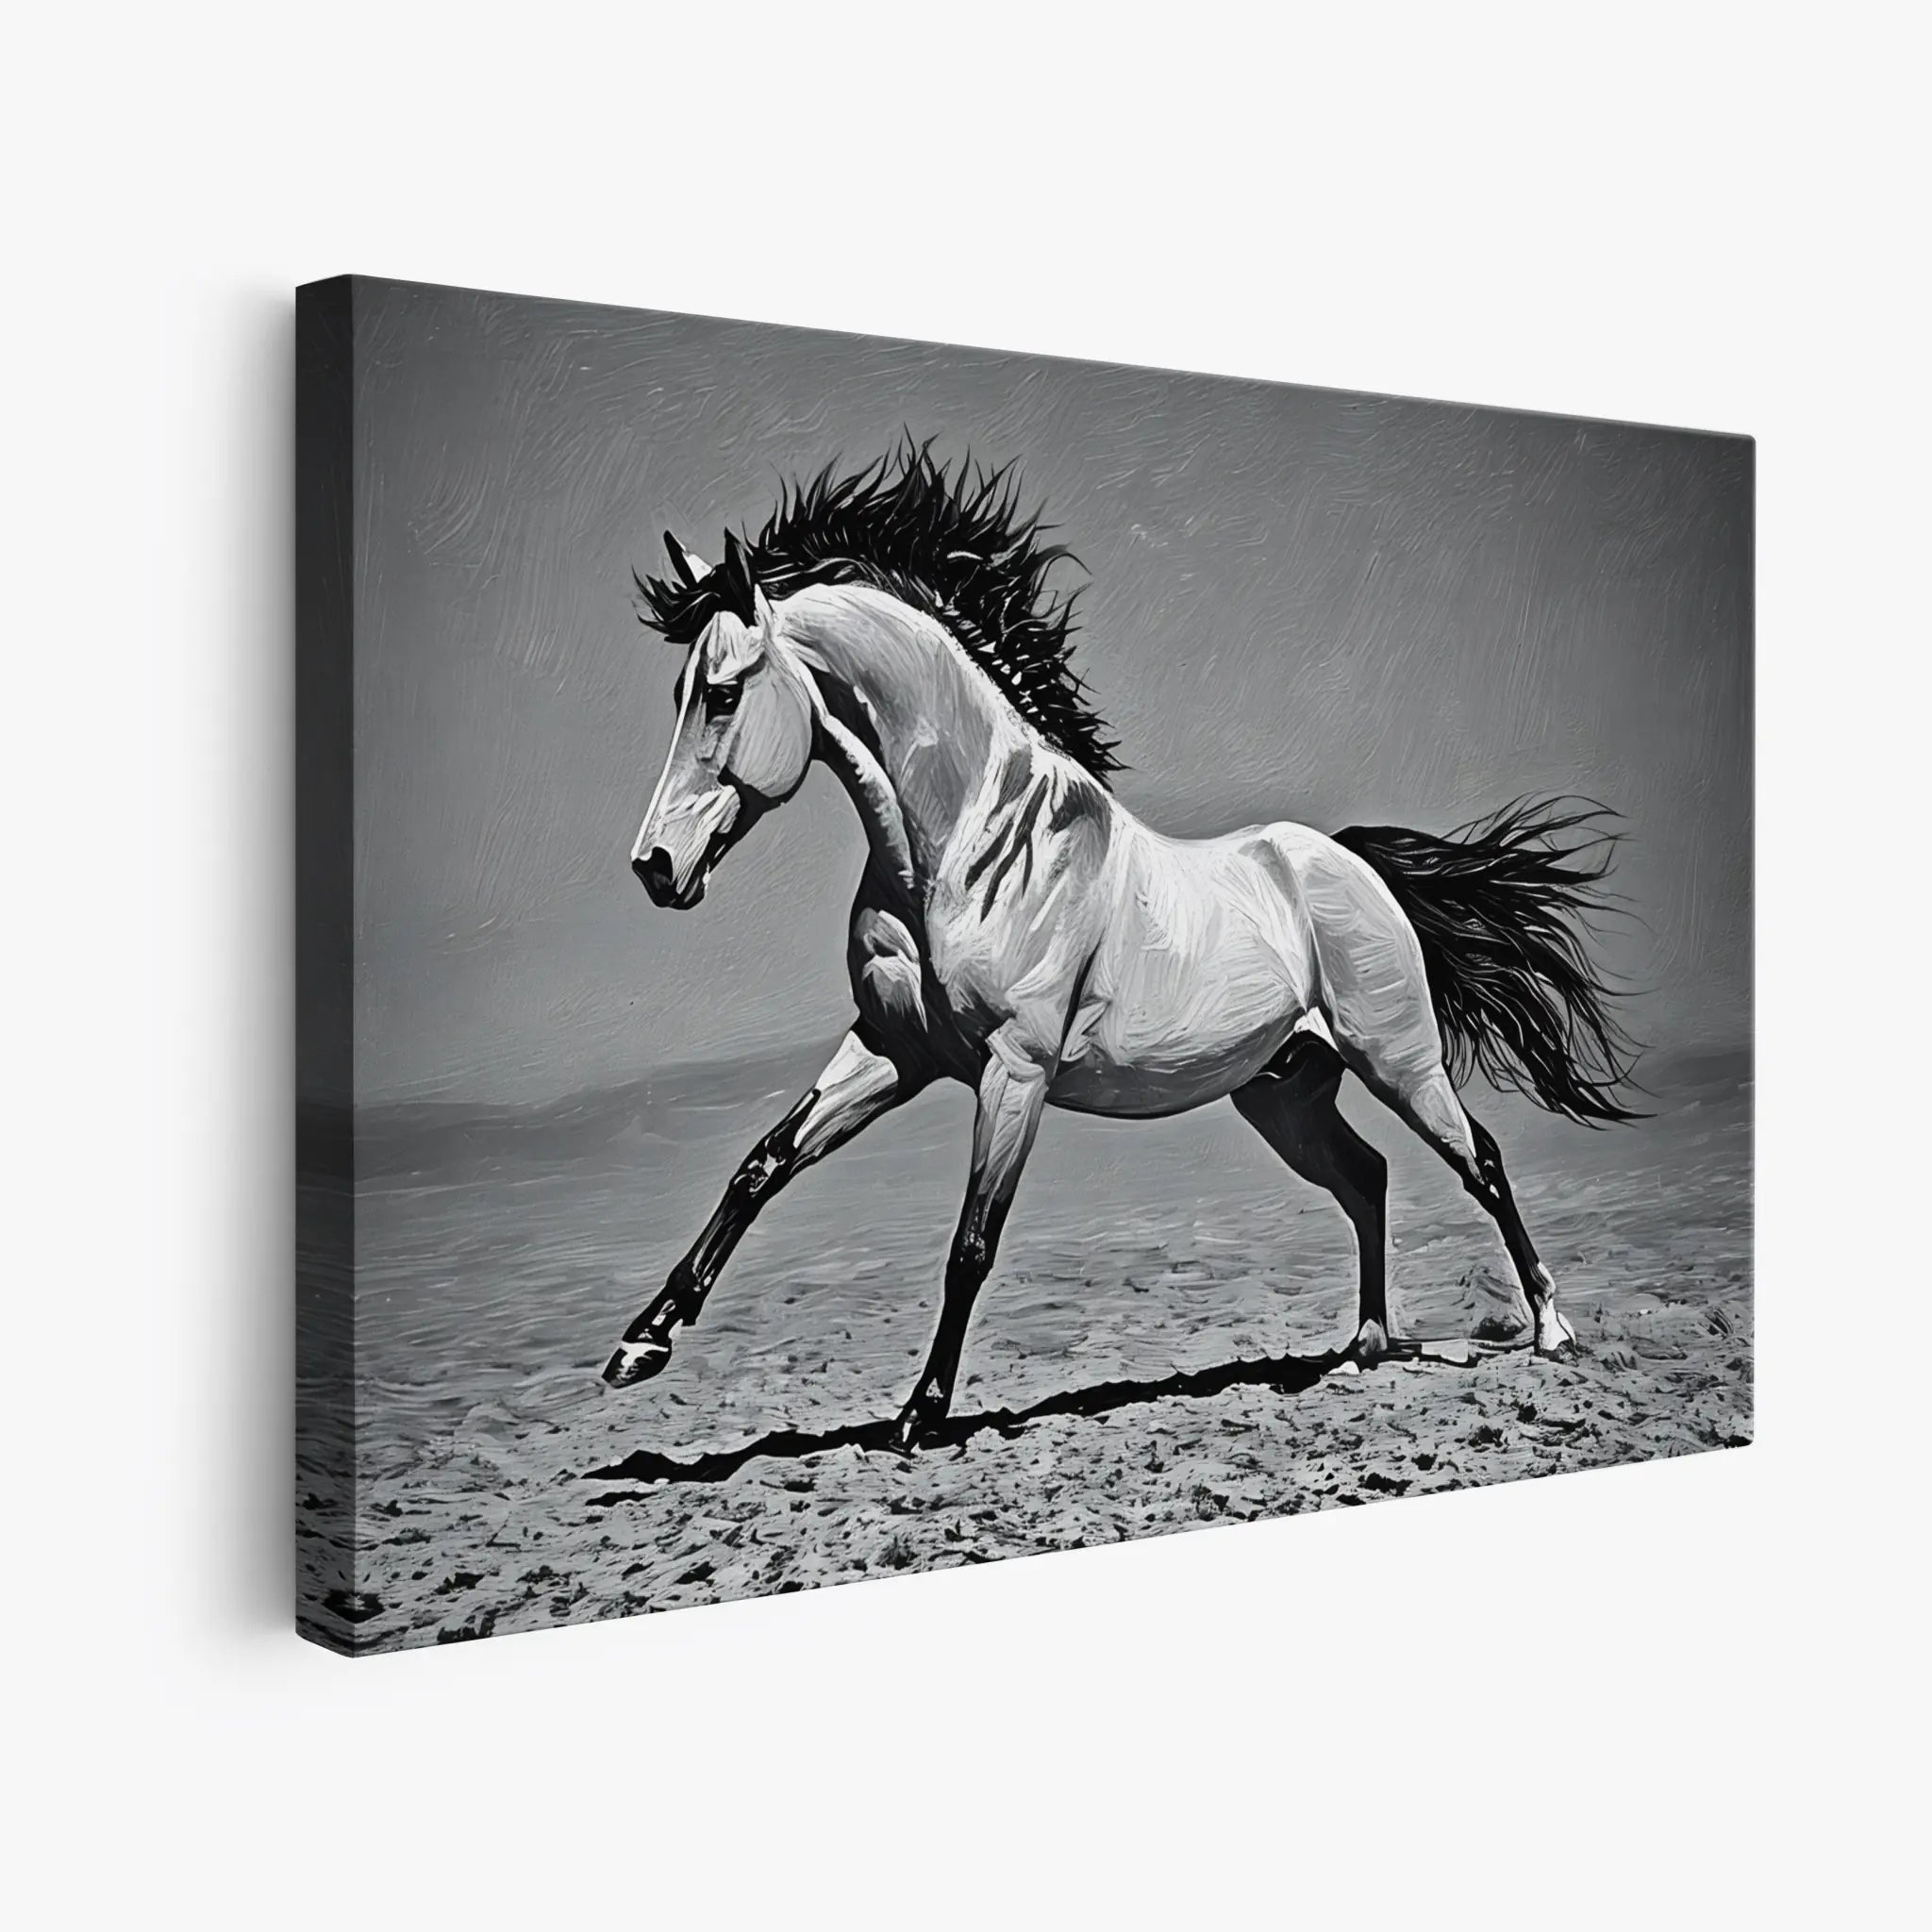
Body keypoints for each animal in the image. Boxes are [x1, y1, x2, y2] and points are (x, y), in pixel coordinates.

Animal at [603, 445, 1639, 1452]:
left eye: (721, 693)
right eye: (680, 691)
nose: (655, 866)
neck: (969, 847)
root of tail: (1349, 861)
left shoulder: (1012, 1071)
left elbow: (971, 1241)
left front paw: (920, 1415)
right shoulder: (894, 1048)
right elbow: (761, 1164)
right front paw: (639, 1345)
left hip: (1400, 1059)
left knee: (1481, 1161)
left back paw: (1550, 1328)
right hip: (1285, 1094)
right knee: (1366, 1179)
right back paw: (1362, 1347)